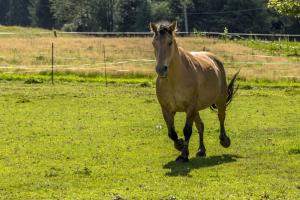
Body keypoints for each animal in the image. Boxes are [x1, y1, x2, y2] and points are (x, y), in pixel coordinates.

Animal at [149, 21, 239, 162]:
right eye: (154, 43)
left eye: (170, 42)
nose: (161, 69)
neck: (174, 80)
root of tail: (215, 60)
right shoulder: (166, 109)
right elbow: (172, 133)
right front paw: (180, 145)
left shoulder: (190, 107)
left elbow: (187, 130)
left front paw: (183, 155)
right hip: (196, 109)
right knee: (200, 126)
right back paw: (201, 150)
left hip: (220, 100)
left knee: (221, 117)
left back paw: (224, 140)